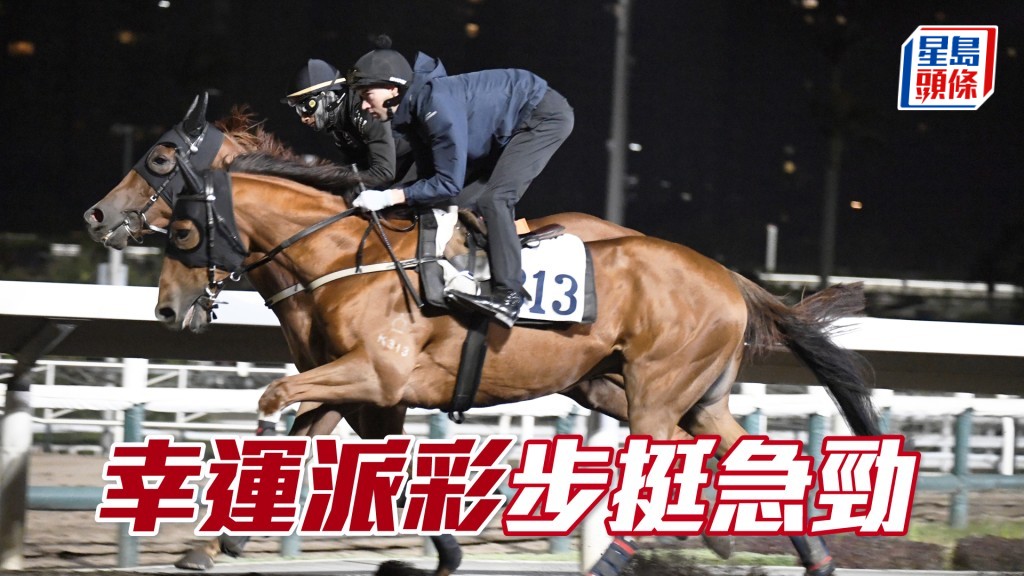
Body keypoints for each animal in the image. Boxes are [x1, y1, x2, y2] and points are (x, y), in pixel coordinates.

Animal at [154, 163, 882, 576]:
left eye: (181, 232)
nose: (166, 308)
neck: (342, 257)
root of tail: (730, 278)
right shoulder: (358, 384)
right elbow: (316, 435)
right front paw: (211, 545)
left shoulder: (377, 377)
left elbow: (274, 399)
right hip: (683, 396)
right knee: (751, 456)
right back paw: (813, 558)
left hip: (656, 393)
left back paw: (613, 563)